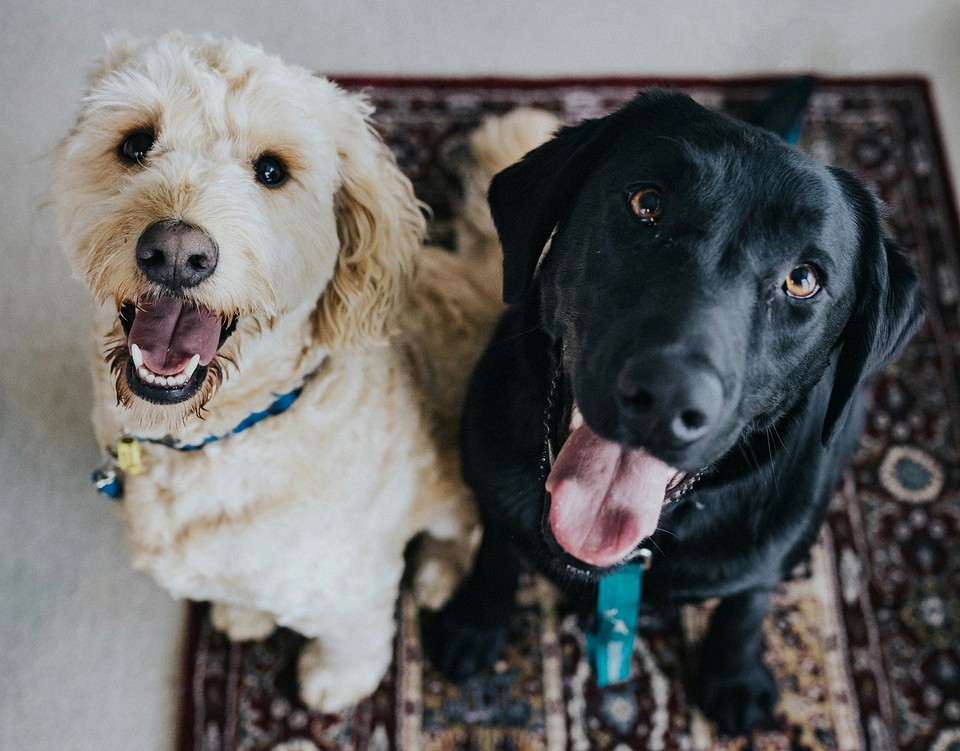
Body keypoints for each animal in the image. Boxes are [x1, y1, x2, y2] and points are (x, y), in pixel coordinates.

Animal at [52, 32, 560, 712]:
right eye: (135, 143)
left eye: (272, 171)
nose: (177, 253)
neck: (222, 434)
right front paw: (244, 614)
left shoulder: (350, 581)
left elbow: (354, 639)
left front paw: (334, 683)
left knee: (465, 531)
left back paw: (437, 574)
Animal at [428, 91, 924, 736]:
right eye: (647, 204)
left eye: (803, 279)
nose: (666, 397)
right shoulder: (492, 478)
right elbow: (496, 548)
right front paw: (475, 620)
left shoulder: (765, 548)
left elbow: (747, 604)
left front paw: (733, 675)